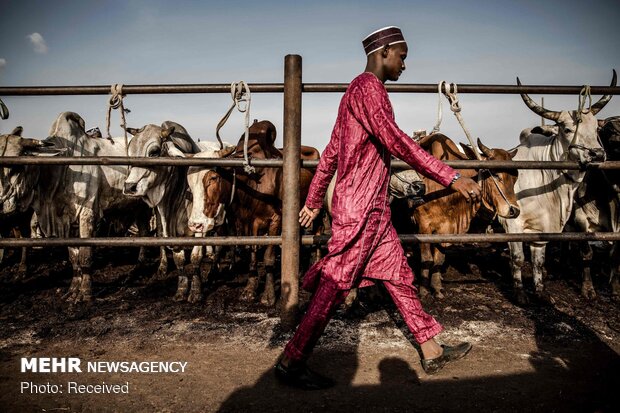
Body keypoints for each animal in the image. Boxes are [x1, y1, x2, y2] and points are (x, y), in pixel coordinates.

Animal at [186, 119, 318, 306]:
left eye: (213, 177)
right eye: (189, 181)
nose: (196, 224)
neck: (253, 183)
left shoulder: (275, 220)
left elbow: (268, 257)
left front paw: (268, 294)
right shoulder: (245, 222)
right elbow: (252, 253)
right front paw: (250, 288)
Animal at [414, 134, 520, 298]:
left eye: (515, 177)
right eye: (496, 175)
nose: (514, 210)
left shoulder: (445, 230)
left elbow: (438, 259)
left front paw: (436, 287)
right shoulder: (424, 226)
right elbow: (427, 259)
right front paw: (424, 290)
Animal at [498, 71, 616, 302]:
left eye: (596, 128)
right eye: (568, 129)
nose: (598, 154)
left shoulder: (543, 226)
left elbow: (538, 260)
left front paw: (540, 291)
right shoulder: (512, 223)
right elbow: (518, 258)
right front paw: (519, 293)